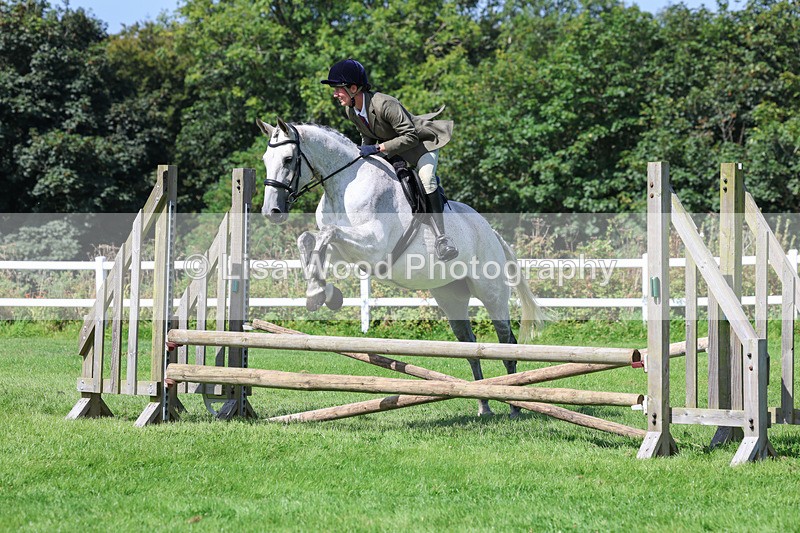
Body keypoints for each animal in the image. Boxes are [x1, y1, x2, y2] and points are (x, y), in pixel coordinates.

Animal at [257, 118, 544, 417]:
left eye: (288, 159)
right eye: (265, 159)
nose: (271, 212)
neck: (343, 185)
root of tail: (491, 231)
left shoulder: (374, 246)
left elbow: (327, 234)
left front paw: (321, 293)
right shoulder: (347, 251)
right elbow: (309, 240)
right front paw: (322, 293)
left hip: (491, 292)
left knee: (506, 341)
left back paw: (514, 407)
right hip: (451, 297)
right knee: (470, 345)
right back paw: (484, 405)